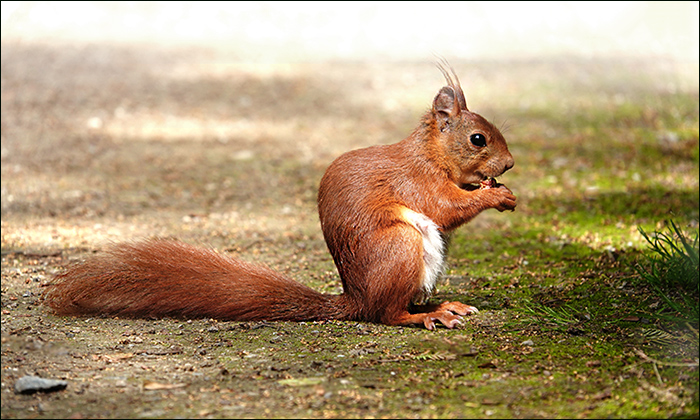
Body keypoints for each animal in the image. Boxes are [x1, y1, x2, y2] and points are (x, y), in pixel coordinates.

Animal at [43, 62, 516, 330]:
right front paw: (496, 197)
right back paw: (428, 316)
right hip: (399, 247)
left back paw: (444, 304)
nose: (510, 165)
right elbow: (445, 206)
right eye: (477, 139)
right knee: (388, 313)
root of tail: (356, 299)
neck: (431, 153)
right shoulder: (415, 180)